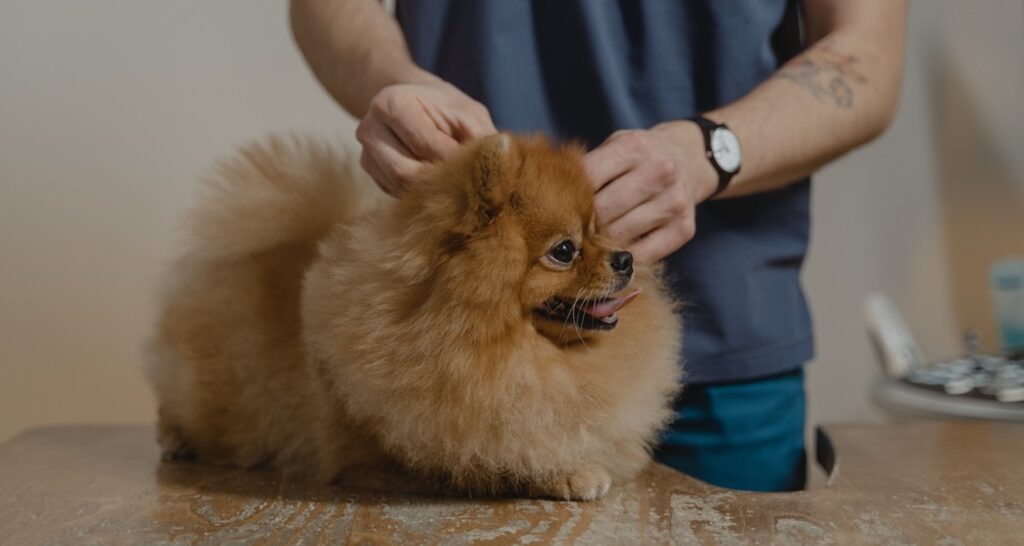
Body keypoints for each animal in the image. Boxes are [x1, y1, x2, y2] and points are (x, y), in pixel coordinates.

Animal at [149, 132, 679, 497]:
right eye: (565, 250)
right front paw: (567, 472)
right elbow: (490, 458)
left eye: (599, 230)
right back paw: (175, 438)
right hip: (217, 402)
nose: (626, 258)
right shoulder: (402, 451)